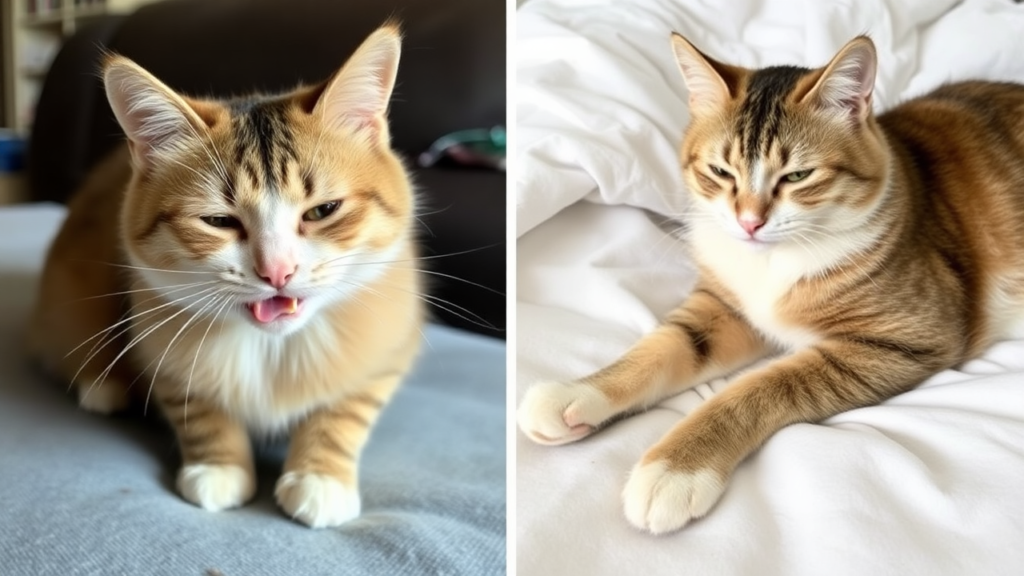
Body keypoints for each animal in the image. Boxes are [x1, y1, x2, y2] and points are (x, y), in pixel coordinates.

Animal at [29, 24, 423, 524]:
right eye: (218, 221)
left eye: (323, 210)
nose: (277, 271)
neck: (272, 350)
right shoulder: (163, 351)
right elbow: (196, 409)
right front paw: (220, 468)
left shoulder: (388, 349)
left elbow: (347, 410)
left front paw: (321, 476)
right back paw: (104, 386)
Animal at [516, 33, 1024, 532]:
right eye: (721, 172)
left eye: (798, 175)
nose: (749, 222)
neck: (771, 262)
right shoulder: (725, 304)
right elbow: (664, 345)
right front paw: (577, 393)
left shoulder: (903, 338)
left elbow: (761, 387)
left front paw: (676, 468)